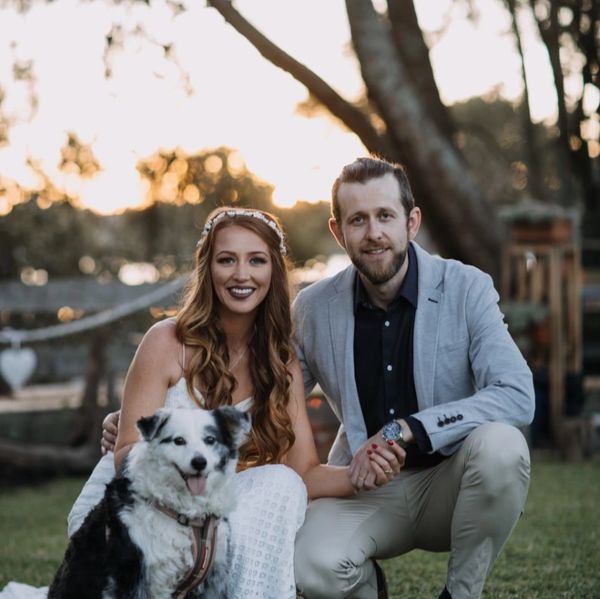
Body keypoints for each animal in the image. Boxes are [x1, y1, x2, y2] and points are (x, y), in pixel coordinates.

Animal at [48, 408, 251, 599]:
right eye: (178, 440)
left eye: (210, 439)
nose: (199, 462)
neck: (184, 514)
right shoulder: (131, 576)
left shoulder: (214, 577)